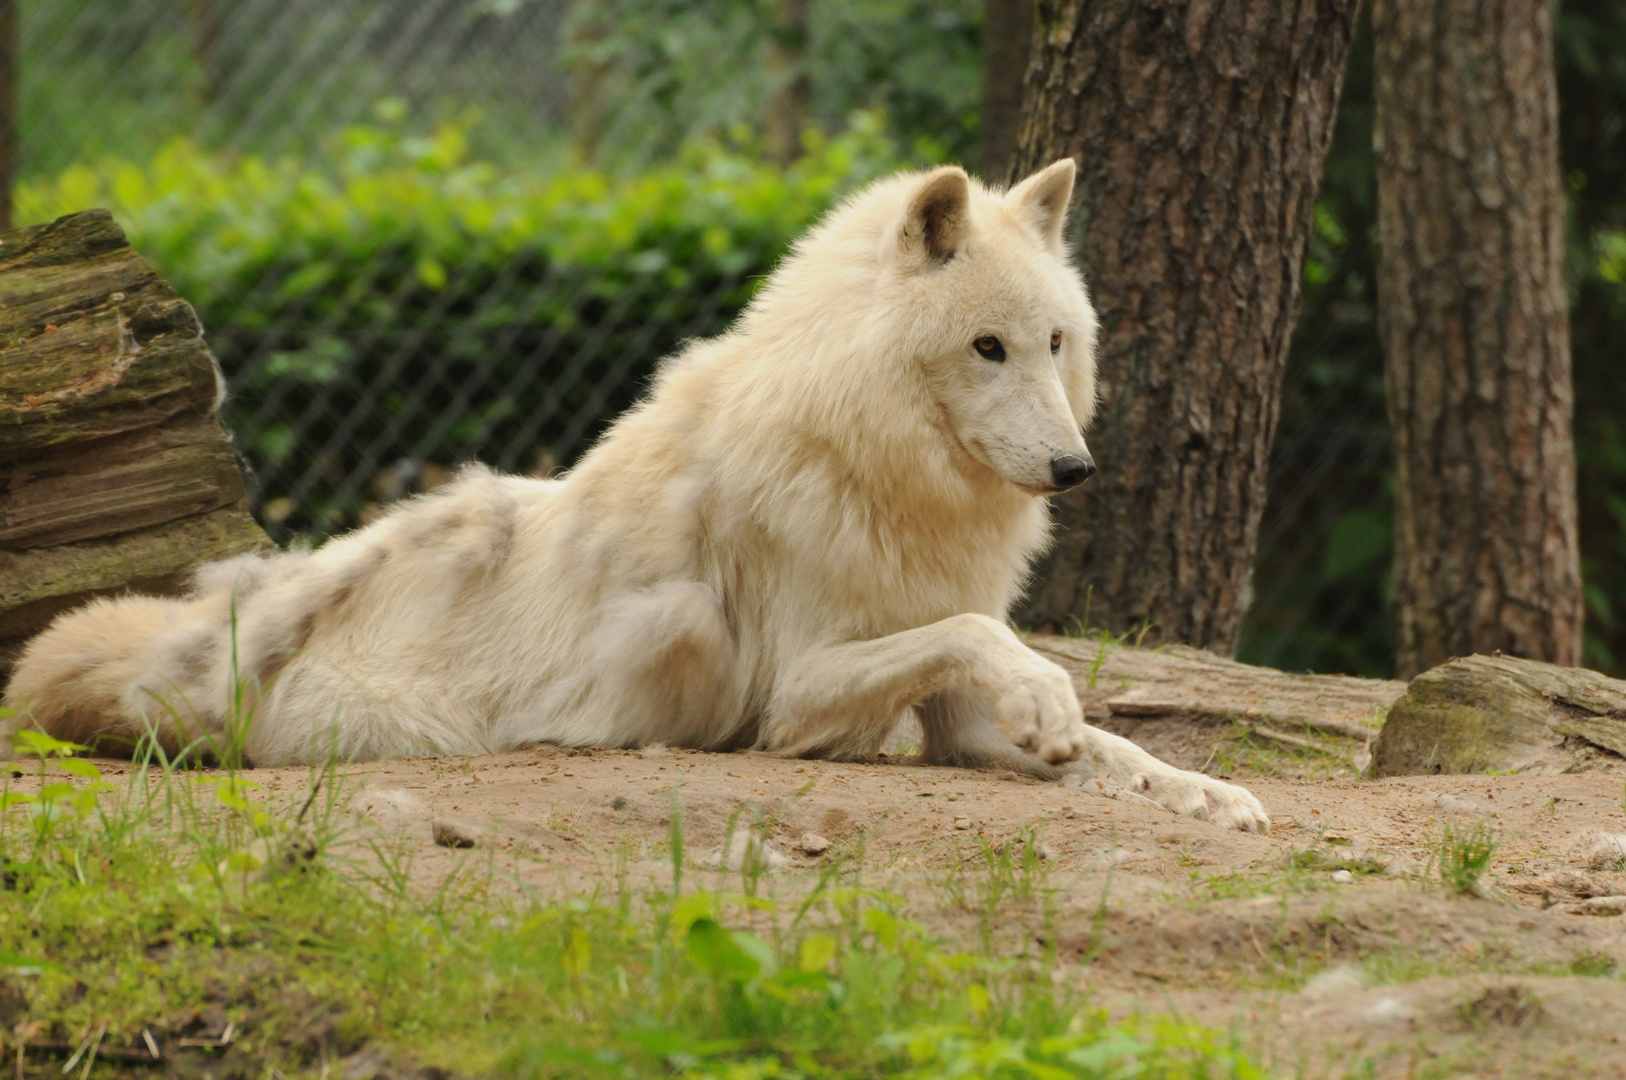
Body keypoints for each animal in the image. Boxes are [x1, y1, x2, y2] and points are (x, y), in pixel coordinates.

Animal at [3, 160, 1268, 829]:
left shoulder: (954, 717)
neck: (870, 460)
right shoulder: (795, 699)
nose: (1074, 470)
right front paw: (1058, 707)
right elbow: (985, 638)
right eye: (986, 348)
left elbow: (1101, 739)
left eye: (1056, 344)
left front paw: (1203, 791)